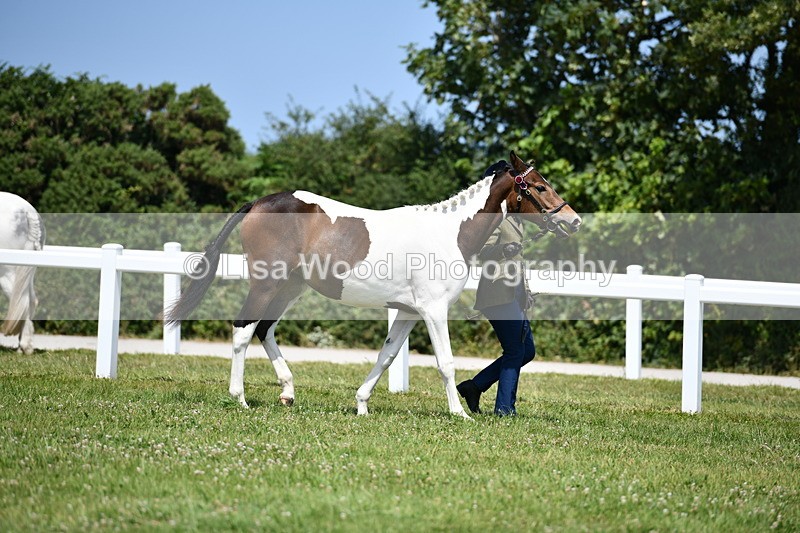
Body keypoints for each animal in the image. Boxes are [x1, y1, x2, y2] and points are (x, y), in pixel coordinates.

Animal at [166, 151, 581, 418]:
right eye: (539, 187)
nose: (573, 220)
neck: (450, 234)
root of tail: (257, 203)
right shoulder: (433, 311)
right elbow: (445, 362)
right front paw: (459, 414)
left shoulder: (408, 313)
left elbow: (387, 356)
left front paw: (362, 404)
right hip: (266, 285)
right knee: (242, 330)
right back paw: (240, 399)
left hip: (289, 288)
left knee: (264, 330)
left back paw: (287, 392)